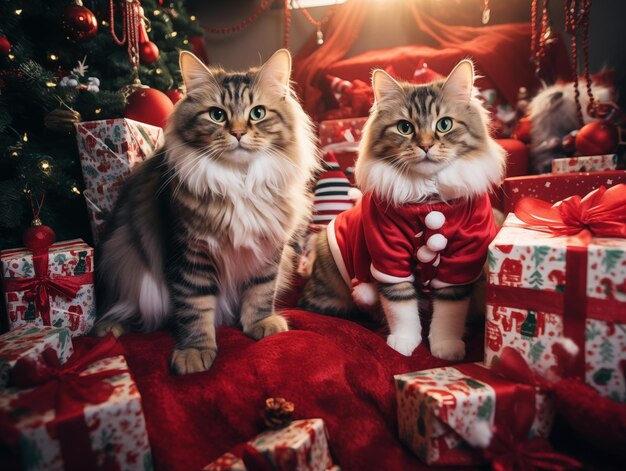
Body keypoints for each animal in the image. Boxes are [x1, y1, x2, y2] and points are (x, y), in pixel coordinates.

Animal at [95, 49, 320, 376]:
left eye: (258, 113)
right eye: (217, 115)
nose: (238, 133)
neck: (240, 180)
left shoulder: (268, 248)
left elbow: (260, 292)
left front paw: (260, 324)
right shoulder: (189, 254)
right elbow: (195, 307)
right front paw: (195, 351)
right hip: (126, 266)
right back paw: (109, 327)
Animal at [296, 60, 502, 362]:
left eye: (444, 124)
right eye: (405, 127)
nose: (425, 145)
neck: (429, 202)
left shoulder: (460, 261)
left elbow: (448, 312)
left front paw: (446, 346)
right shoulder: (388, 256)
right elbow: (401, 306)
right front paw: (404, 343)